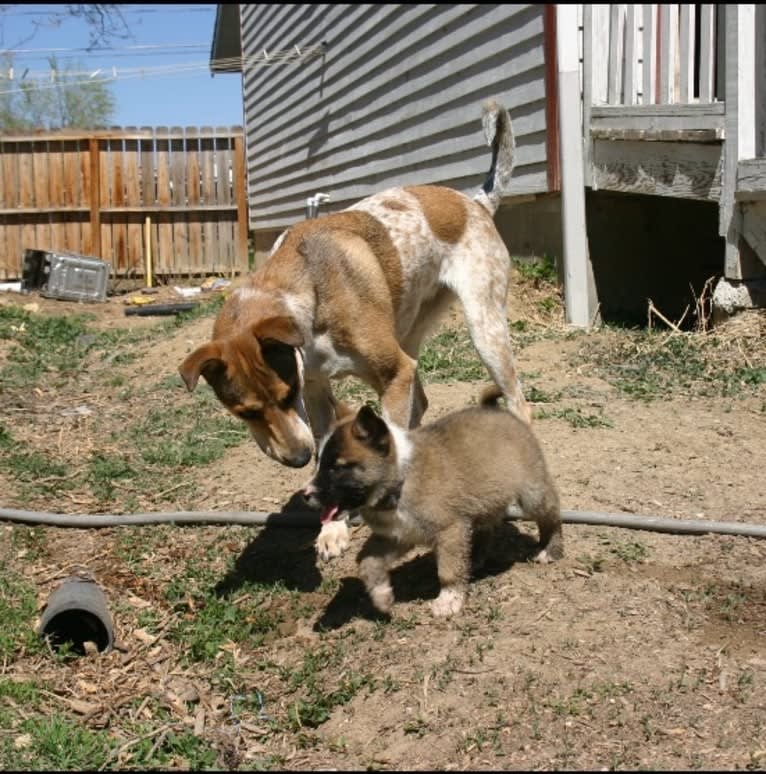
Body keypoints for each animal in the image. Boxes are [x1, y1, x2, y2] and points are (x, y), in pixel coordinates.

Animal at [178, 98, 532, 556]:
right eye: (246, 412)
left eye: (285, 396)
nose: (296, 458)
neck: (306, 293)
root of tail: (477, 201)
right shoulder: (317, 389)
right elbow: (330, 448)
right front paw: (332, 528)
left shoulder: (388, 373)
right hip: (409, 333)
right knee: (421, 403)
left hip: (484, 330)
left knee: (519, 404)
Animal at [304, 388, 564, 620]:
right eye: (319, 463)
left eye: (337, 467)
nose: (306, 495)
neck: (401, 479)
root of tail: (496, 410)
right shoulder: (398, 536)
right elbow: (366, 561)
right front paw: (381, 595)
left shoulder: (449, 530)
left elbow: (447, 571)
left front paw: (449, 600)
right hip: (482, 502)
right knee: (485, 528)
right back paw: (475, 557)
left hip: (532, 494)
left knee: (551, 514)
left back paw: (551, 549)